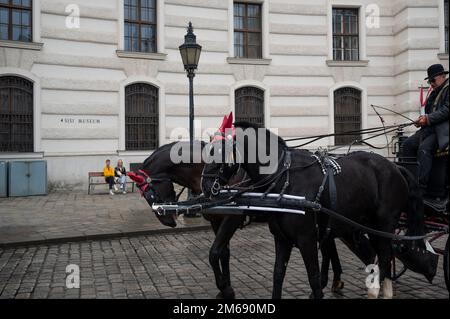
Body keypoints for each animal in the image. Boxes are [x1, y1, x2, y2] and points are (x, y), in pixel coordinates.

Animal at [200, 123, 426, 300]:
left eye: (220, 153)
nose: (205, 185)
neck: (284, 178)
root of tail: (396, 167)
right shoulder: (281, 239)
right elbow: (277, 274)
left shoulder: (306, 239)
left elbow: (314, 278)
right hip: (361, 225)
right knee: (376, 256)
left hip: (383, 225)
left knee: (385, 257)